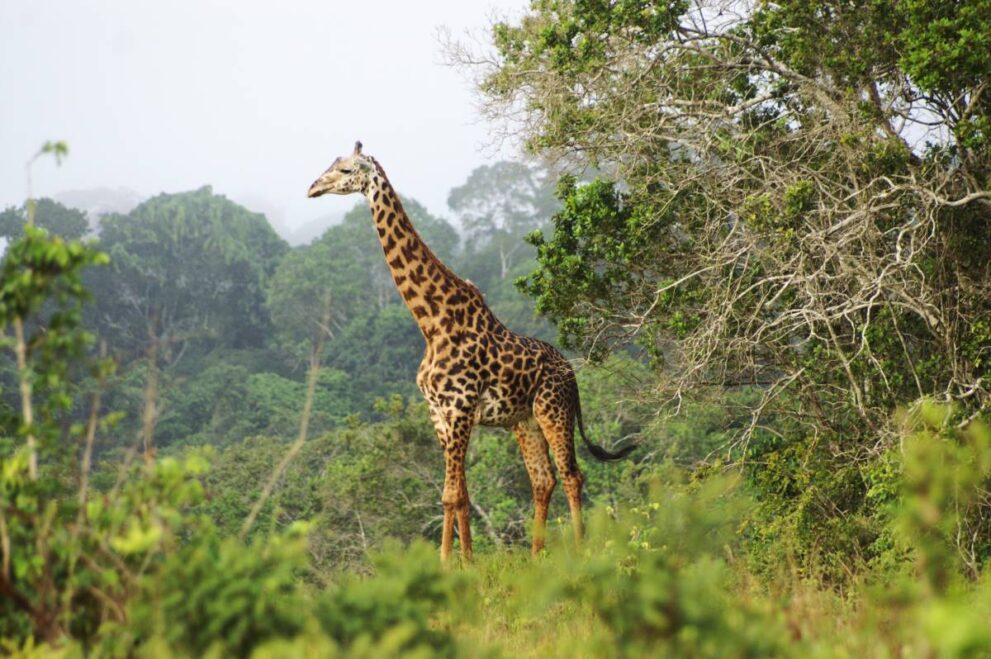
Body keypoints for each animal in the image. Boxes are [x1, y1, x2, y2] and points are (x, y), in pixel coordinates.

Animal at [307, 142, 634, 560]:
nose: (312, 188)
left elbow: (450, 495)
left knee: (572, 474)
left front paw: (450, 564)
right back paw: (535, 556)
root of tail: (572, 373)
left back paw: (578, 551)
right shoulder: (439, 413)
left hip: (553, 410)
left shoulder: (460, 407)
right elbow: (460, 495)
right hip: (523, 421)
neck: (432, 323)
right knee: (543, 480)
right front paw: (464, 561)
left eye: (346, 169)